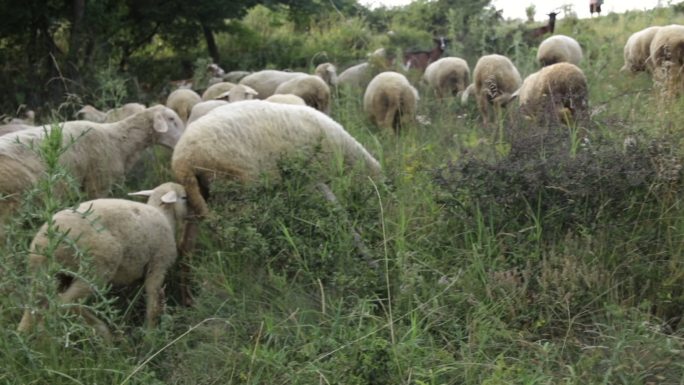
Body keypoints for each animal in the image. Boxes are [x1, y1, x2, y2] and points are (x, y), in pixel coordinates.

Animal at [16, 181, 187, 340]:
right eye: (184, 198)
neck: (164, 215)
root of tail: (48, 238)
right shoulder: (158, 264)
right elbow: (153, 303)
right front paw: (150, 336)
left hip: (44, 272)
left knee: (36, 306)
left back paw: (26, 337)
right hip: (97, 267)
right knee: (64, 302)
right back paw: (104, 333)